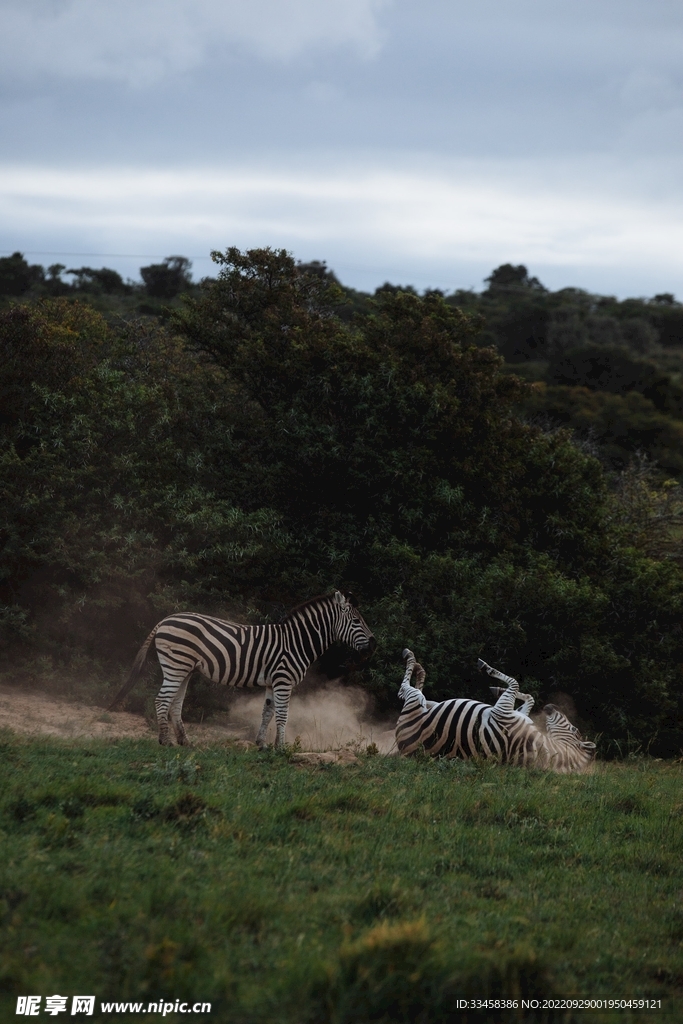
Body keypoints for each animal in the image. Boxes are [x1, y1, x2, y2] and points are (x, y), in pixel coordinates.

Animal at [109, 589, 376, 749]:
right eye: (356, 621)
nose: (374, 644)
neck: (296, 642)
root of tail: (165, 619)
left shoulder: (271, 682)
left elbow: (267, 712)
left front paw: (262, 744)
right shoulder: (283, 679)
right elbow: (283, 714)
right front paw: (281, 748)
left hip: (183, 668)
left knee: (175, 703)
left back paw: (185, 741)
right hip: (176, 665)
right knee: (162, 700)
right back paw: (165, 741)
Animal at [397, 651, 593, 770]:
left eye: (574, 730)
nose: (551, 706)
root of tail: (404, 749)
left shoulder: (502, 711)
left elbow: (515, 682)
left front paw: (486, 667)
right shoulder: (515, 712)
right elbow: (529, 697)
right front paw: (497, 689)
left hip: (414, 703)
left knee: (406, 688)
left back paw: (410, 658)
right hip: (423, 703)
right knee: (420, 691)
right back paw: (419, 669)